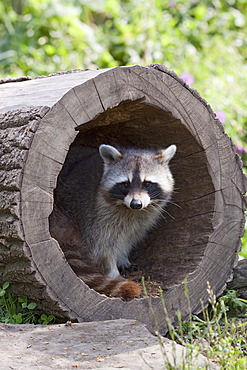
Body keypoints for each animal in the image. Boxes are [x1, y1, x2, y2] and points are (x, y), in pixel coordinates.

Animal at [49, 143, 176, 300]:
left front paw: (123, 257)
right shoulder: (94, 215)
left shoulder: (142, 220)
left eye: (147, 184)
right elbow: (101, 248)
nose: (136, 204)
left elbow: (130, 236)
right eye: (125, 184)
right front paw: (113, 273)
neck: (130, 211)